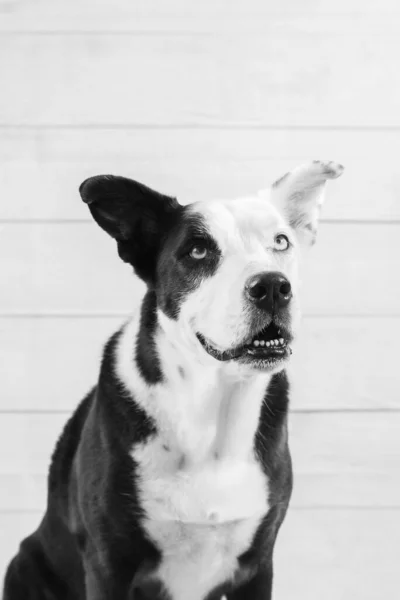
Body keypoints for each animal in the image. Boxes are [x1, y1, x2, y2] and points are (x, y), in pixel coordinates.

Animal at [2, 159, 344, 600]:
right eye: (197, 250)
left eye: (281, 242)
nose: (272, 286)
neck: (211, 410)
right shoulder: (107, 563)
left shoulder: (258, 563)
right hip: (24, 562)